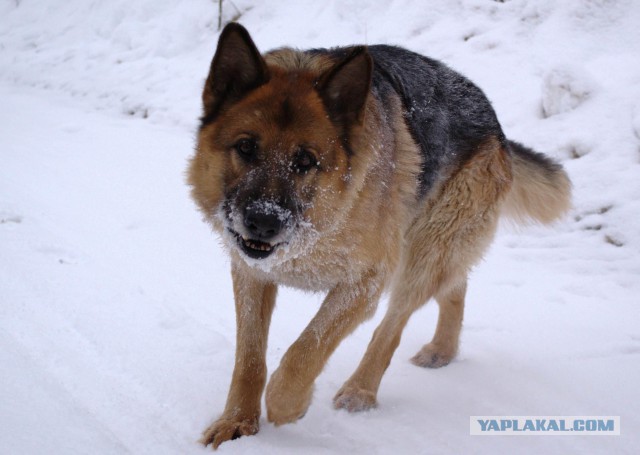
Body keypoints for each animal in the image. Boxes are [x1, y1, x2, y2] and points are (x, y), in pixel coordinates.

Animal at [188, 23, 572, 448]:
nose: (263, 222)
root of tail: (496, 125)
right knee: (455, 285)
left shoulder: (364, 283)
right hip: (436, 250)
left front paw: (289, 404)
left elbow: (305, 350)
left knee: (391, 327)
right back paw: (443, 350)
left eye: (305, 161)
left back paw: (361, 390)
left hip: (420, 256)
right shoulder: (251, 274)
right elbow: (249, 358)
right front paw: (237, 421)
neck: (318, 228)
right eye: (245, 147)